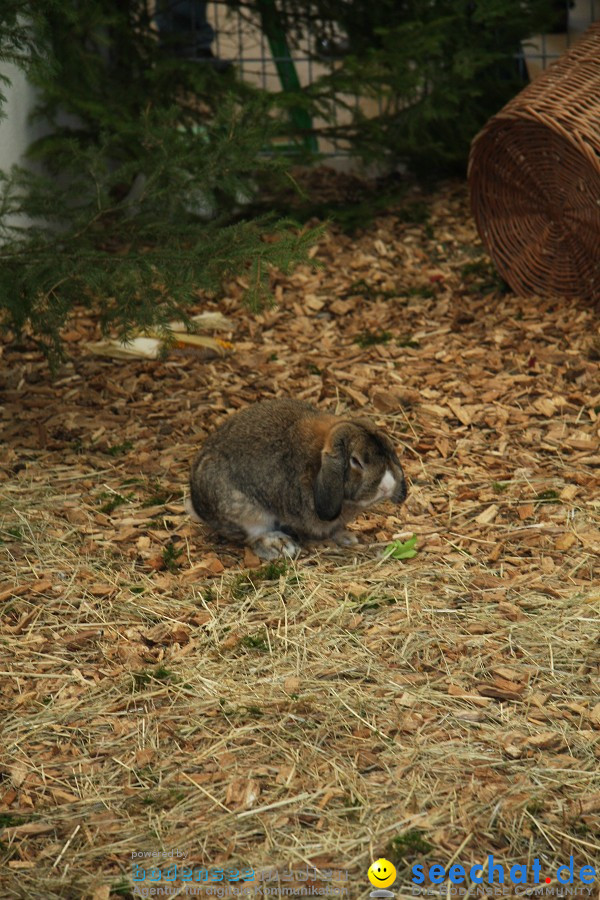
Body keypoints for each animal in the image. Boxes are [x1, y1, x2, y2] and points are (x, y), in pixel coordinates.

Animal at [185, 398, 406, 560]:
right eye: (356, 461)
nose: (388, 486)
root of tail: (198, 506)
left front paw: (346, 537)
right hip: (243, 508)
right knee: (253, 534)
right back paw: (281, 546)